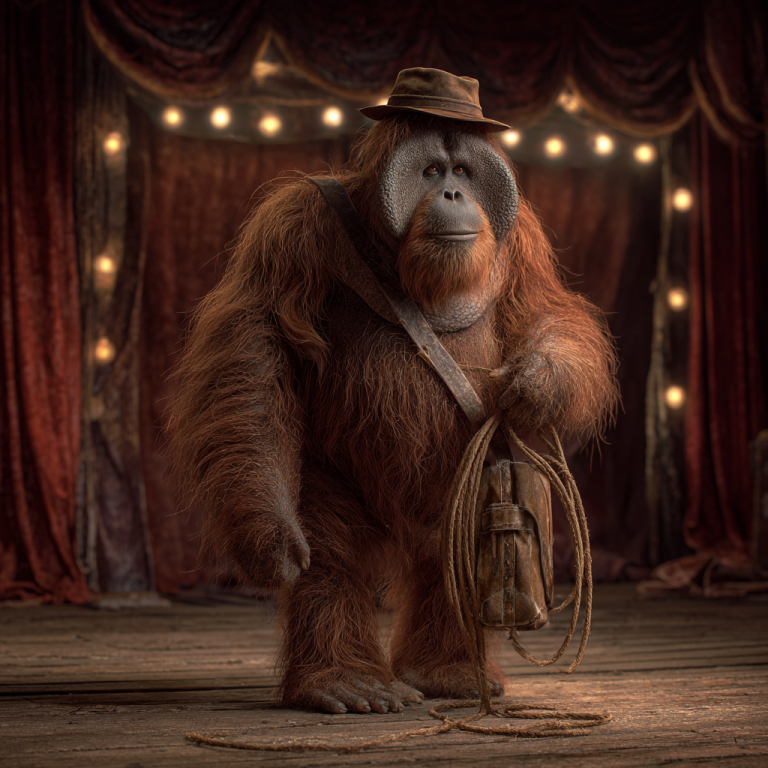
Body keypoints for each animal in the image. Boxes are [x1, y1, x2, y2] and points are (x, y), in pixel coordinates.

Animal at [168, 111, 618, 715]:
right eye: (430, 171)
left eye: (463, 171)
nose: (453, 192)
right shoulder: (291, 225)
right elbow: (258, 342)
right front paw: (270, 539)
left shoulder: (522, 236)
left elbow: (545, 310)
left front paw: (533, 383)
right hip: (328, 467)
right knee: (332, 544)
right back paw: (346, 683)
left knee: (448, 546)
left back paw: (445, 674)